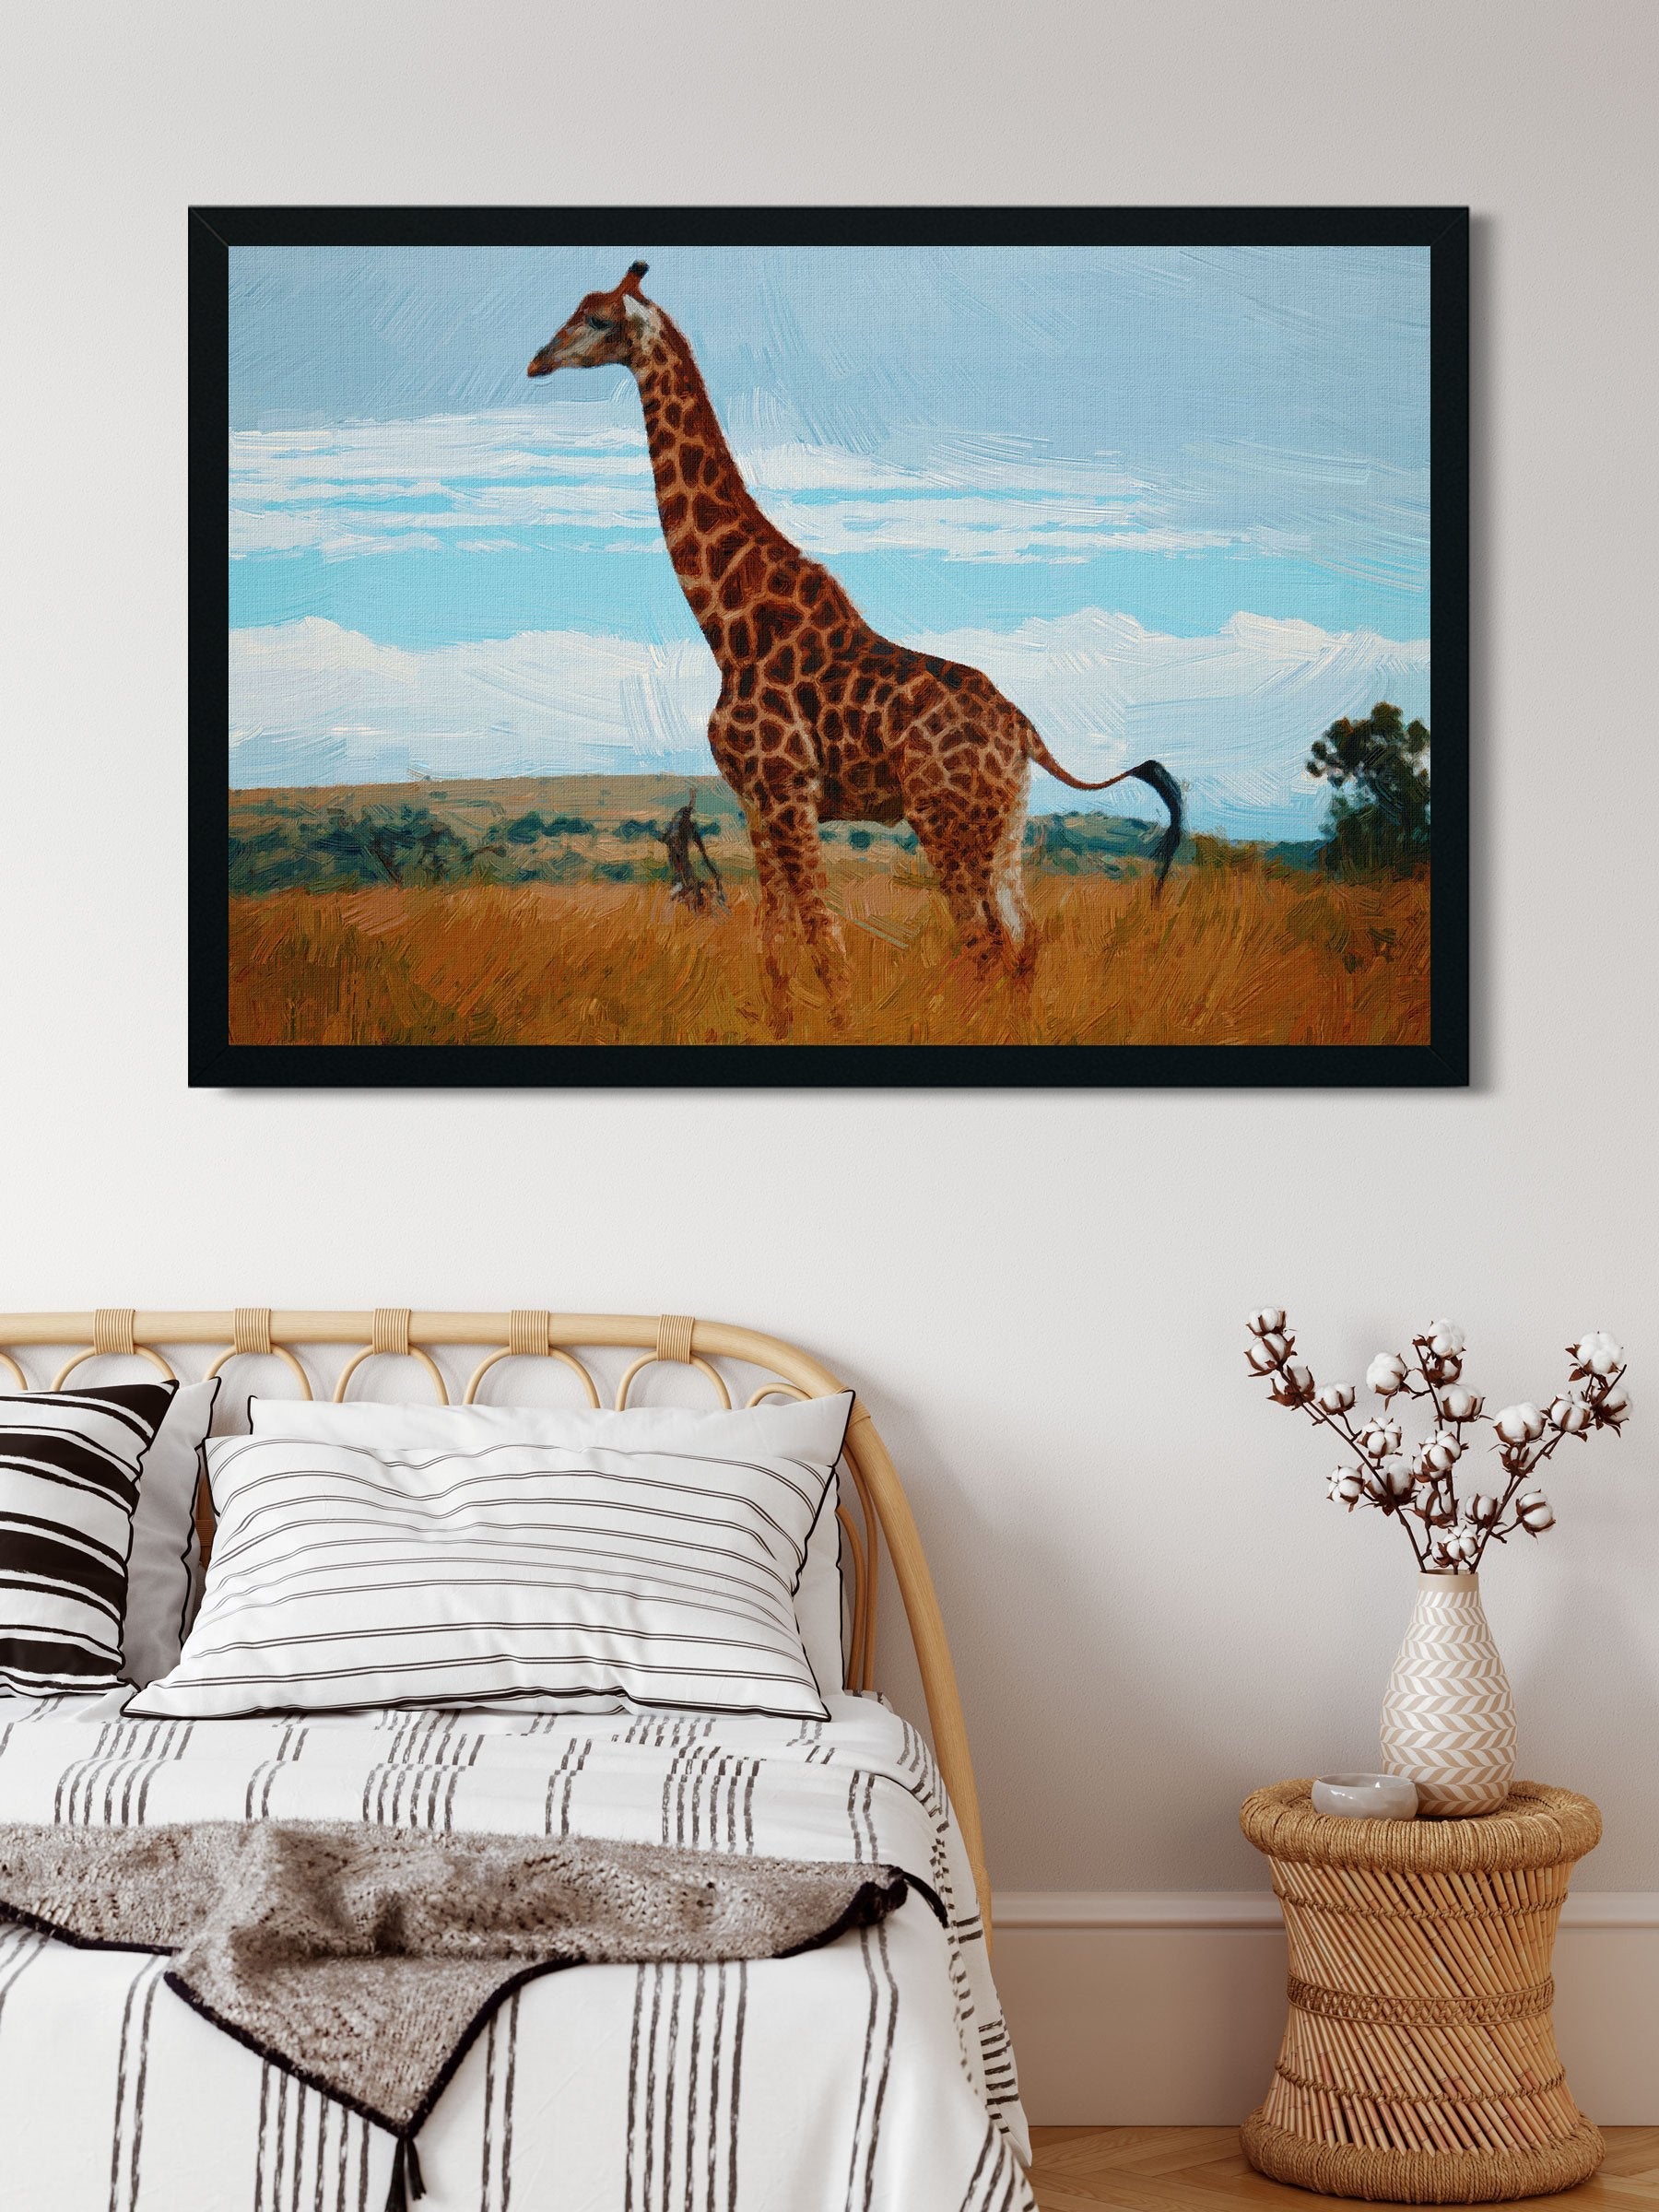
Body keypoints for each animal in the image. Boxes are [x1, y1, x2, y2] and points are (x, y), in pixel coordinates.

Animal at [528, 262, 1182, 1033]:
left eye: (598, 319)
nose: (537, 362)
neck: (729, 625)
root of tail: (1025, 731)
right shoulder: (756, 801)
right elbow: (774, 939)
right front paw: (783, 1028)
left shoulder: (789, 791)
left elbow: (824, 937)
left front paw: (841, 1025)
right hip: (1004, 826)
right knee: (1024, 939)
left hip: (944, 820)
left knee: (983, 941)